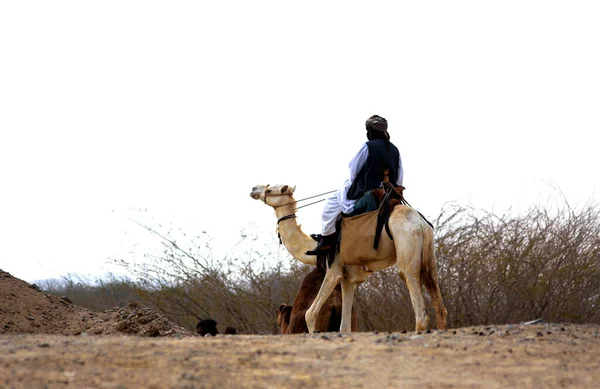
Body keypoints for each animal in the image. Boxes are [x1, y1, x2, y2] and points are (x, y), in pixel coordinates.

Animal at [251, 183, 448, 332]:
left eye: (270, 190)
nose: (254, 189)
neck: (313, 247)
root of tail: (420, 224)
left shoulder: (333, 271)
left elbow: (310, 314)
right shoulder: (347, 280)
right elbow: (344, 327)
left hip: (407, 246)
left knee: (418, 307)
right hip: (429, 256)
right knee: (439, 302)